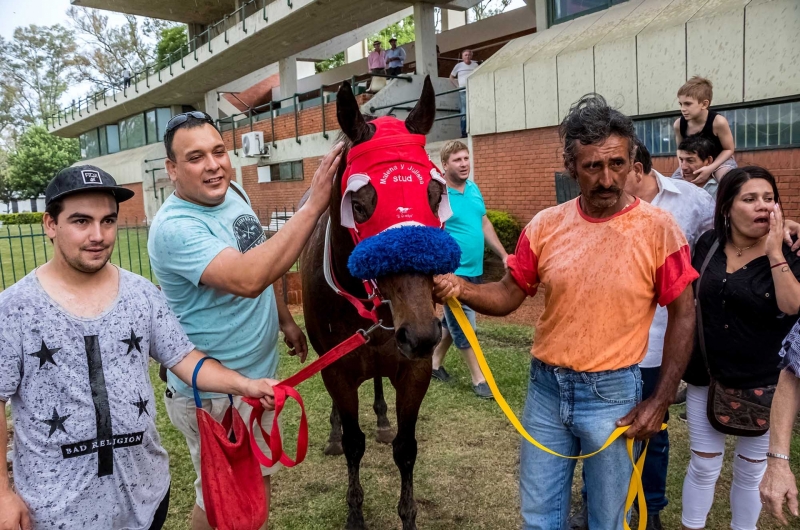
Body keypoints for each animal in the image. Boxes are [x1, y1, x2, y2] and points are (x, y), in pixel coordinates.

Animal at [302, 78, 444, 528]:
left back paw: (381, 417)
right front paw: (355, 515)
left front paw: (408, 516)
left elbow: (406, 447)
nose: (421, 333)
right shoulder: (339, 370)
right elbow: (353, 442)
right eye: (360, 204)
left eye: (435, 195)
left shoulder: (415, 369)